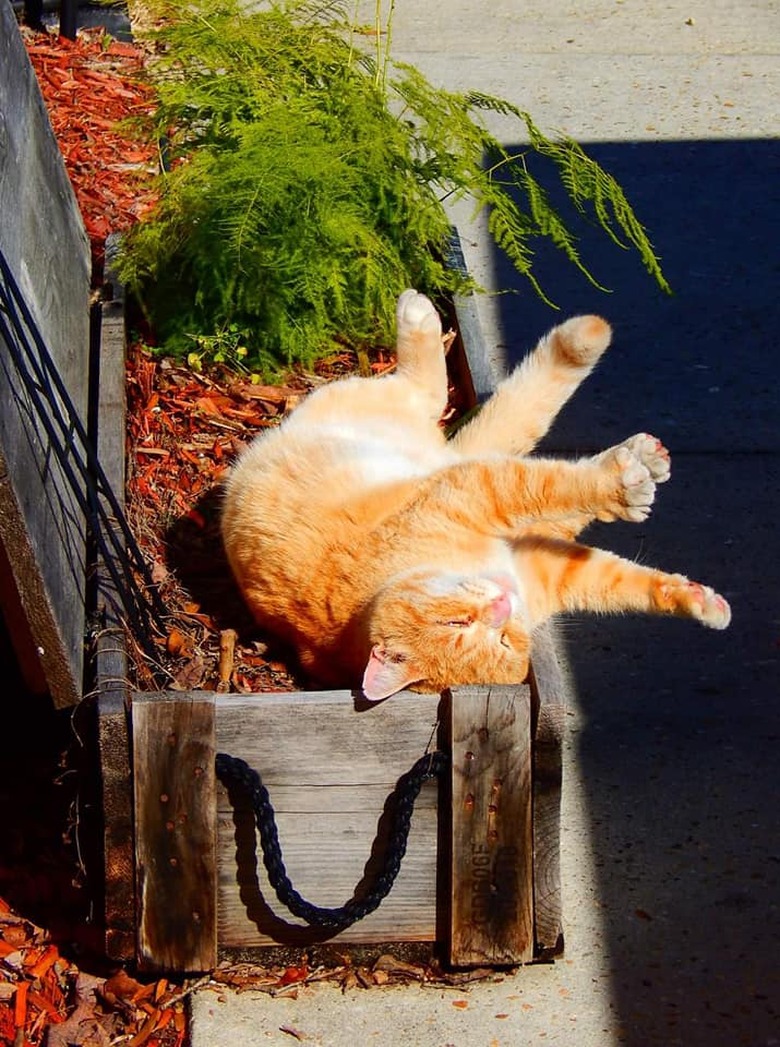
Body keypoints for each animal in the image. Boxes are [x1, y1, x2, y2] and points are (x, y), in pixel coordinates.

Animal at [220, 288, 728, 695]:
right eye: (497, 640)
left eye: (459, 621)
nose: (501, 607)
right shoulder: (534, 554)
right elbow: (597, 552)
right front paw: (623, 492)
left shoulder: (477, 494)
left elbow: (558, 497)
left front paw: (696, 600)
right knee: (430, 395)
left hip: (403, 426)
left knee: (425, 388)